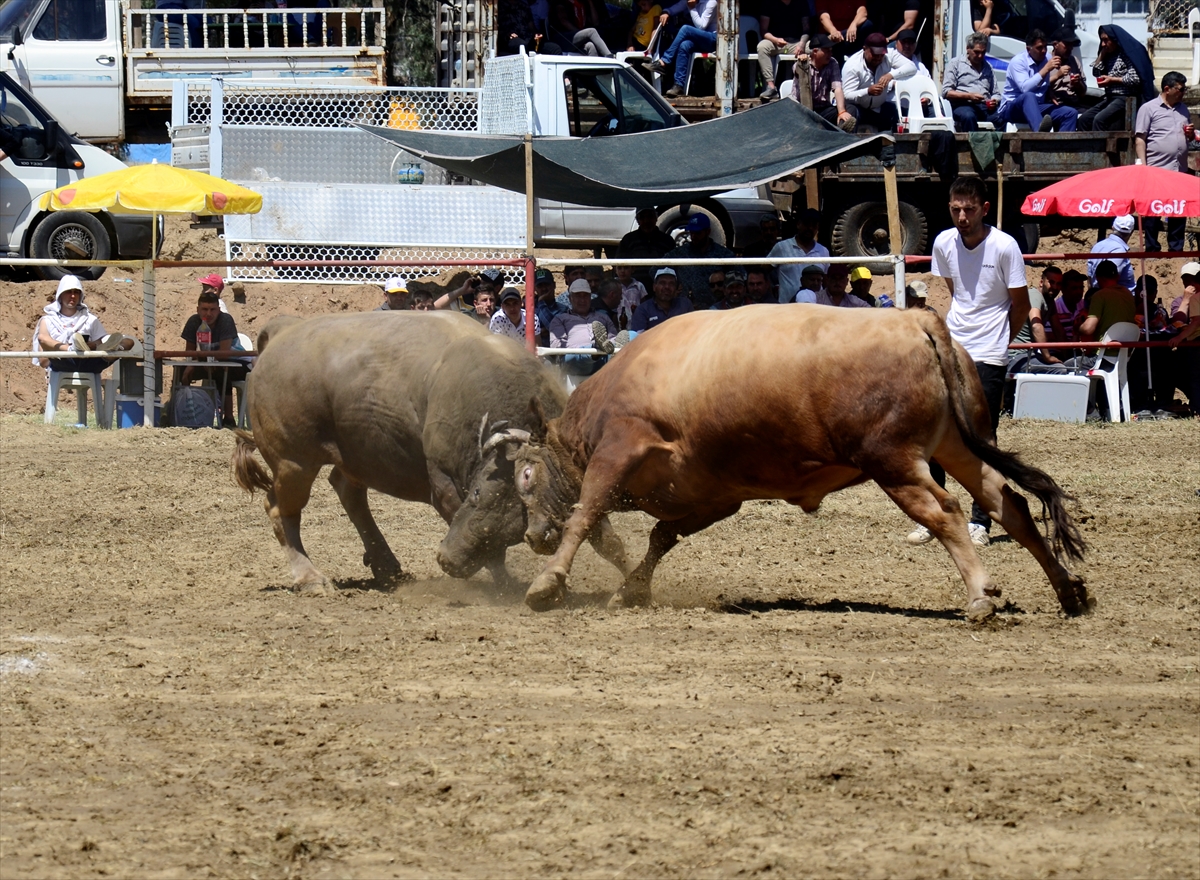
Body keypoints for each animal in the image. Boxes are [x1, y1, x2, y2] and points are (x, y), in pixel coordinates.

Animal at [501, 304, 1094, 619]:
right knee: (1009, 504)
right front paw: (634, 588)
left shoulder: (619, 447)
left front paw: (548, 583)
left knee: (946, 512)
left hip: (895, 462)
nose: (531, 537)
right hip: (958, 445)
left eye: (526, 475)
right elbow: (661, 537)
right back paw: (1067, 590)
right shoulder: (714, 493)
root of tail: (915, 319)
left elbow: (584, 513)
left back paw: (979, 596)